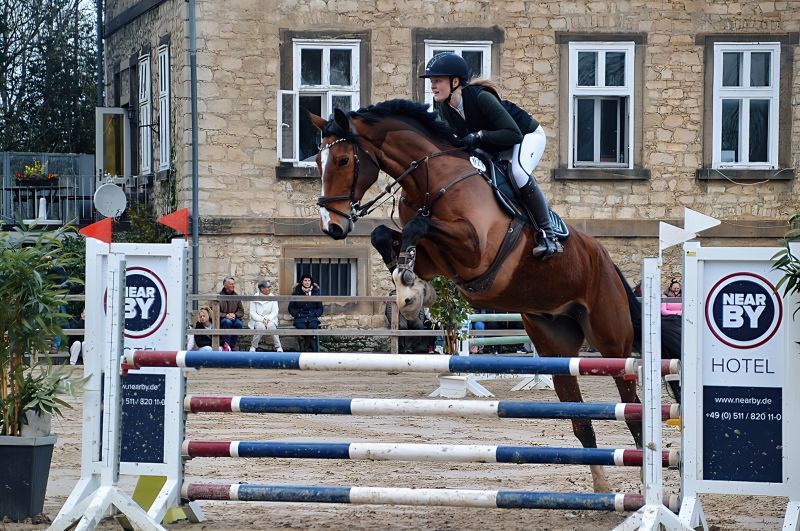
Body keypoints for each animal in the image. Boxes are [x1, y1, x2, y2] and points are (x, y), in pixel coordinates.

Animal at [310, 101, 680, 494]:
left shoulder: (473, 249)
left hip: (612, 342)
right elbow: (386, 235)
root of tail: (606, 260)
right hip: (557, 349)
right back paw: (602, 488)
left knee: (633, 411)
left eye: (344, 160)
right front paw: (412, 289)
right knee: (582, 422)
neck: (430, 181)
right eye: (317, 161)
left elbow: (417, 227)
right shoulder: (435, 256)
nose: (332, 227)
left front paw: (411, 288)